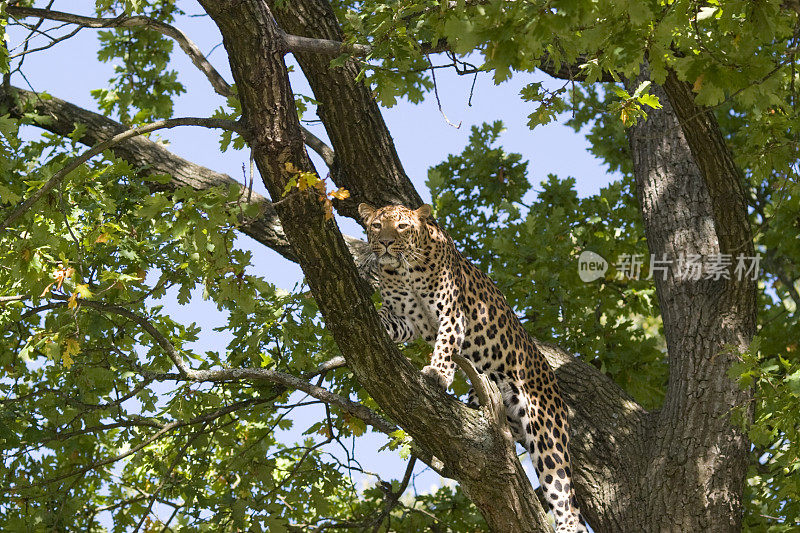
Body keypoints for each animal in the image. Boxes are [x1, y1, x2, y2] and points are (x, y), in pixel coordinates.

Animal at [360, 202, 584, 528]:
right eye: (376, 226)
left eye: (402, 226)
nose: (387, 243)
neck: (404, 271)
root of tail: (553, 383)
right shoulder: (404, 319)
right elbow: (382, 319)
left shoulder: (451, 314)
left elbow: (445, 345)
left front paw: (438, 374)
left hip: (547, 435)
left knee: (564, 498)